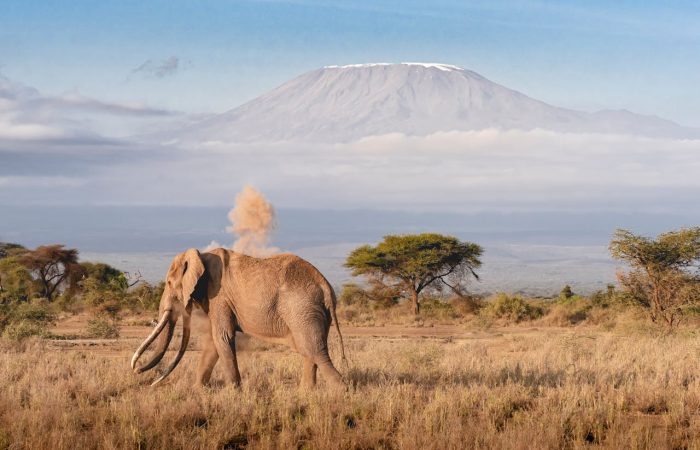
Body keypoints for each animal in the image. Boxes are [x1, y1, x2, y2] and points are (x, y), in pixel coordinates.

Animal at [130, 248, 346, 388]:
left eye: (168, 282)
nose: (138, 371)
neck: (201, 255)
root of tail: (325, 286)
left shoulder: (219, 296)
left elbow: (222, 337)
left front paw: (234, 392)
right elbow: (214, 341)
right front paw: (198, 390)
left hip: (302, 308)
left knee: (314, 350)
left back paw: (341, 391)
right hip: (311, 312)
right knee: (309, 350)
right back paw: (306, 394)